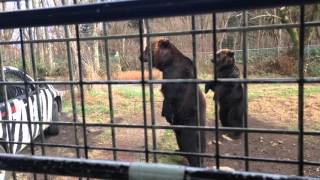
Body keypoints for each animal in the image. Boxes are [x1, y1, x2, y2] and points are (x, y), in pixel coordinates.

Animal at [141, 38, 206, 167]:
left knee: (189, 142)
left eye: (147, 49)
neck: (168, 62)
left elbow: (171, 96)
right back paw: (179, 151)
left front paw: (165, 113)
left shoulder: (177, 75)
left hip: (189, 122)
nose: (140, 56)